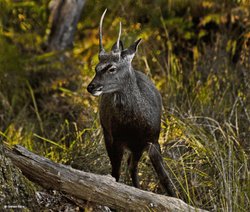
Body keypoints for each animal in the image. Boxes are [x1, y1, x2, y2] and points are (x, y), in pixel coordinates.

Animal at [87, 9, 177, 196]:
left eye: (112, 68)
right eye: (96, 68)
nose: (91, 86)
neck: (135, 126)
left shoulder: (152, 140)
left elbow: (165, 178)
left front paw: (178, 198)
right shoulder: (116, 138)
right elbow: (115, 174)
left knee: (132, 167)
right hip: (107, 132)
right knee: (125, 168)